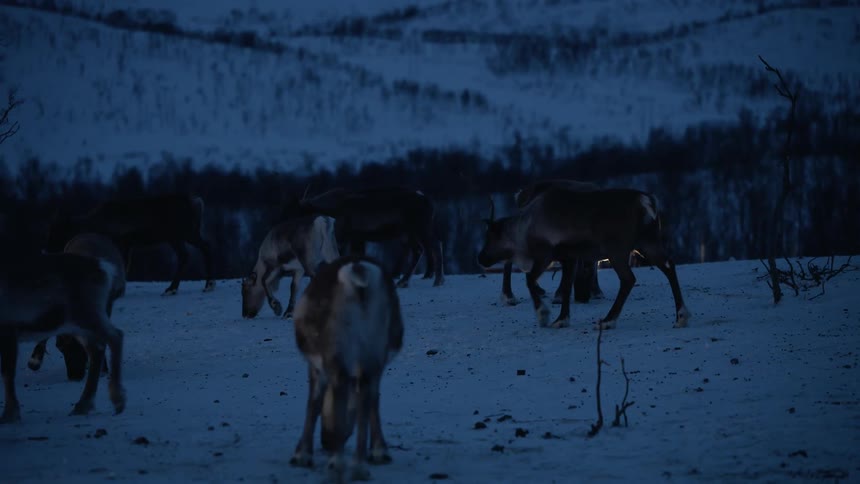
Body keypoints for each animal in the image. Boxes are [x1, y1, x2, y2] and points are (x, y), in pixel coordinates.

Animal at [1, 252, 127, 423]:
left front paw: (10, 415)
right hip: (77, 324)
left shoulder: (8, 328)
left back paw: (117, 400)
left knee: (116, 336)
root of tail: (105, 268)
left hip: (85, 315)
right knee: (97, 349)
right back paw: (83, 405)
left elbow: (7, 373)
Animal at [46, 194, 215, 296]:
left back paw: (198, 285)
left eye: (58, 232)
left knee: (199, 249)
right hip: (181, 236)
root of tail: (197, 202)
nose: (47, 251)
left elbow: (121, 264)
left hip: (182, 234)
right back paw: (180, 287)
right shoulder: (128, 244)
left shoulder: (121, 241)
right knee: (191, 252)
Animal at [282, 185, 444, 288]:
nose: (285, 228)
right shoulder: (356, 238)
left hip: (421, 227)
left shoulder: (348, 237)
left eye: (296, 212)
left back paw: (437, 280)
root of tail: (428, 200)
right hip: (408, 233)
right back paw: (404, 281)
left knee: (435, 246)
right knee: (419, 250)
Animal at [289, 255, 403, 483]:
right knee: (366, 395)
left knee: (341, 391)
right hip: (371, 348)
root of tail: (358, 273)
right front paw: (379, 450)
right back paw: (359, 466)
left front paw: (302, 454)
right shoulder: (378, 364)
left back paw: (337, 464)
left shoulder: (316, 366)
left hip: (336, 351)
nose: (325, 441)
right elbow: (373, 404)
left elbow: (313, 405)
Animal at [477, 185, 690, 330]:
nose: (480, 258)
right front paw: (561, 319)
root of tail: (648, 202)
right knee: (669, 266)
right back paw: (681, 316)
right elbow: (565, 287)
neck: (523, 228)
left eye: (490, 237)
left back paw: (608, 321)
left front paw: (543, 315)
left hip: (617, 250)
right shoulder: (569, 258)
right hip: (647, 242)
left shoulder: (545, 255)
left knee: (628, 279)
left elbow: (530, 280)